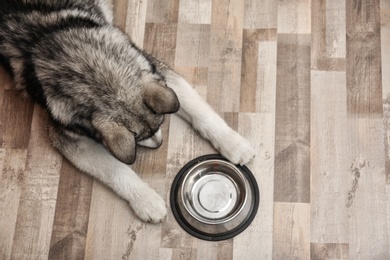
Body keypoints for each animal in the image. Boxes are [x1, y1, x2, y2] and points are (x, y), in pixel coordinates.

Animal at [0, 0, 256, 223]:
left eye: (160, 124)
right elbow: (116, 171)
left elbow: (201, 113)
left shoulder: (160, 74)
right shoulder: (68, 137)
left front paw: (233, 144)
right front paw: (146, 200)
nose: (160, 144)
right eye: (138, 137)